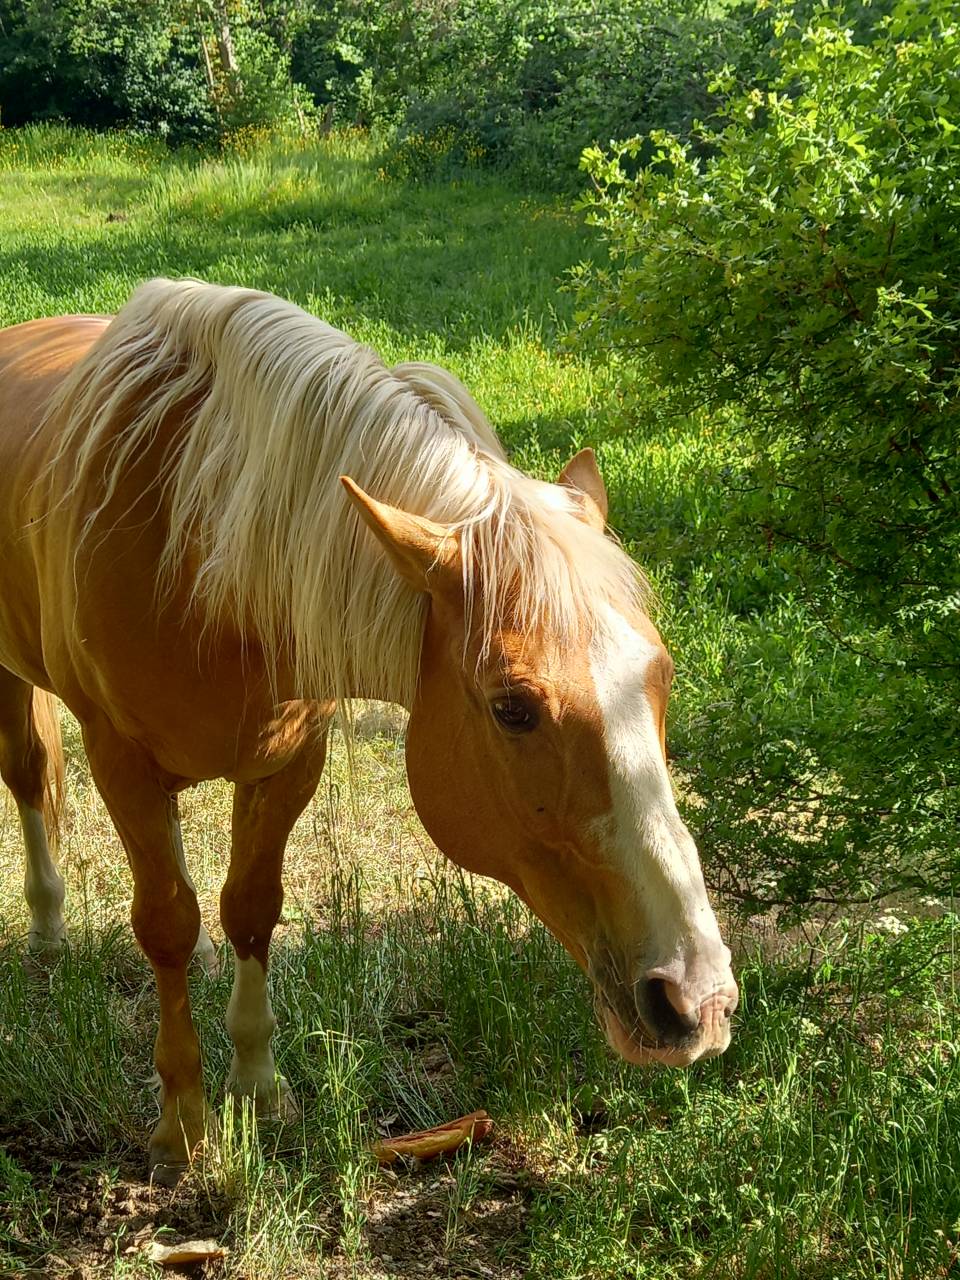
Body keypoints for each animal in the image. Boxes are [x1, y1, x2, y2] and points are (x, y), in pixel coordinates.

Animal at [0, 279, 738, 1181]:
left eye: (661, 677)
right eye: (513, 708)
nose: (697, 999)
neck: (194, 542)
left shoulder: (289, 760)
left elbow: (249, 909)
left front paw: (259, 1088)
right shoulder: (120, 761)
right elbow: (165, 924)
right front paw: (184, 1125)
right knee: (30, 777)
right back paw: (47, 930)